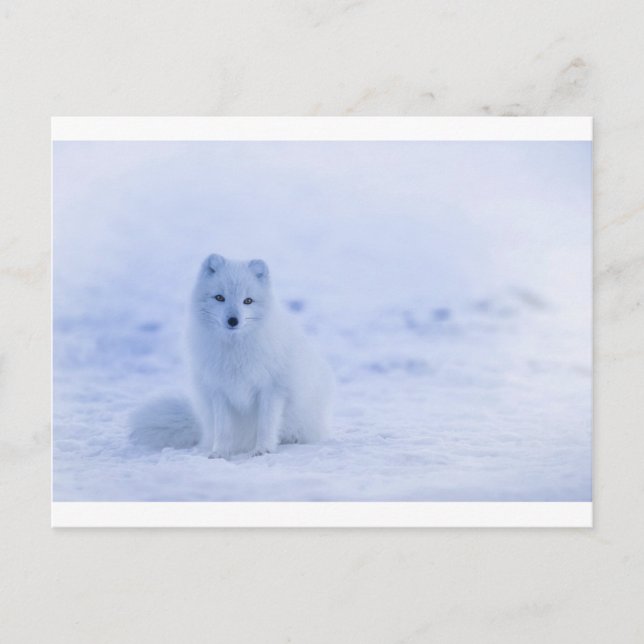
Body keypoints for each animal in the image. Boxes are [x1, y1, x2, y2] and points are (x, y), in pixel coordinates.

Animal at [129, 253, 334, 458]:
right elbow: (223, 430)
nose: (233, 320)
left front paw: (263, 450)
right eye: (220, 297)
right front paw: (219, 453)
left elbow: (266, 425)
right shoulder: (219, 390)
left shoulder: (272, 388)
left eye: (248, 301)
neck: (235, 351)